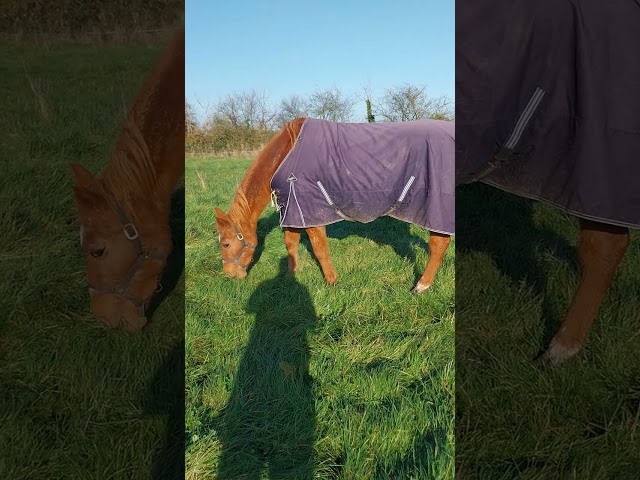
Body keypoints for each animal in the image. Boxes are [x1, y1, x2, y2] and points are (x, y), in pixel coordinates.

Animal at [215, 117, 455, 294]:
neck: (288, 153)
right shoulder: (293, 209)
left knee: (438, 245)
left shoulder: (310, 210)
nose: (229, 275)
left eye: (226, 243)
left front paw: (332, 281)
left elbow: (320, 249)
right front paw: (291, 275)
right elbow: (290, 243)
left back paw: (422, 286)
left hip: (436, 208)